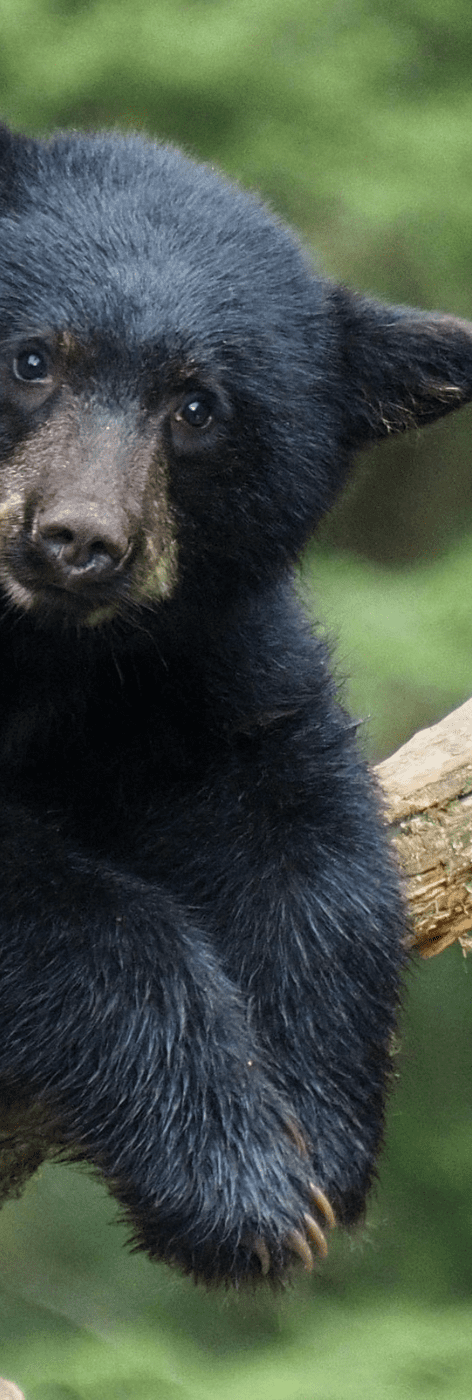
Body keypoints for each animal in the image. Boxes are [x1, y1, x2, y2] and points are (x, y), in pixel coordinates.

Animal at [0, 122, 472, 1286]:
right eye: (33, 358)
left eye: (196, 406)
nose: (76, 542)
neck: (45, 646)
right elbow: (77, 910)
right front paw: (233, 1180)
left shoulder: (196, 645)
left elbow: (289, 803)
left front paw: (319, 1129)